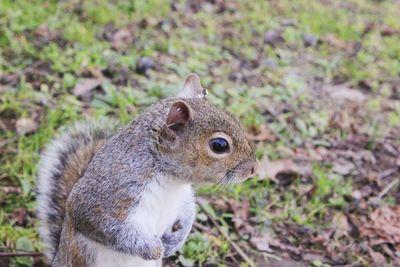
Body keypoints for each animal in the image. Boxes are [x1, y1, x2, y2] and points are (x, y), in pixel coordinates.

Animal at [36, 74, 256, 267]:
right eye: (219, 145)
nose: (253, 169)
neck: (170, 178)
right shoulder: (112, 190)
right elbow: (101, 224)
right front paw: (154, 249)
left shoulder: (183, 193)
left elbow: (188, 210)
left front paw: (176, 240)